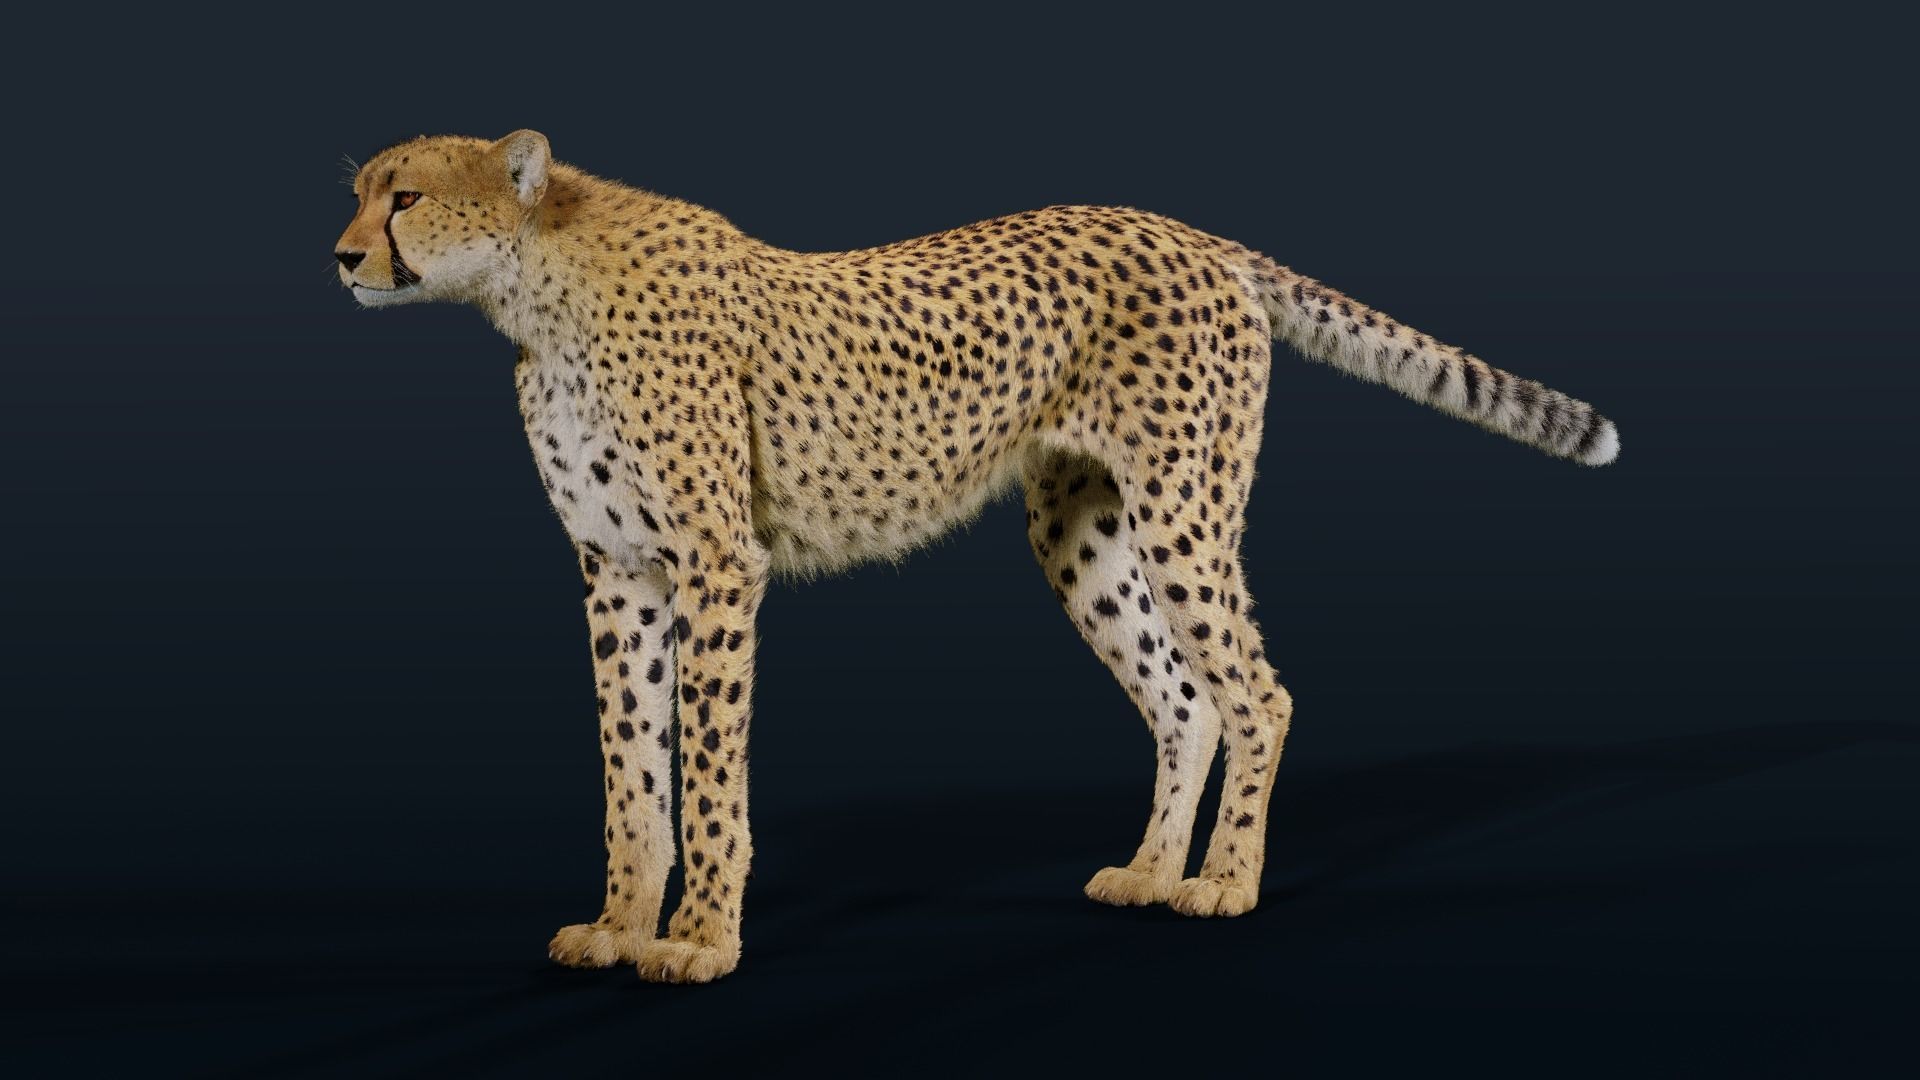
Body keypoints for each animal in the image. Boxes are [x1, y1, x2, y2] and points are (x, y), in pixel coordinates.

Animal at [334, 130, 1618, 983]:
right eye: (356, 193)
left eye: (405, 196)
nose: (342, 257)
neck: (534, 287)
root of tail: (1192, 230)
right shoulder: (621, 572)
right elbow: (629, 769)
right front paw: (616, 926)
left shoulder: (714, 563)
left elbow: (703, 768)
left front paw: (697, 939)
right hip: (1082, 531)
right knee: (1184, 698)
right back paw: (1153, 872)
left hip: (1185, 507)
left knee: (1257, 692)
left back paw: (1225, 882)